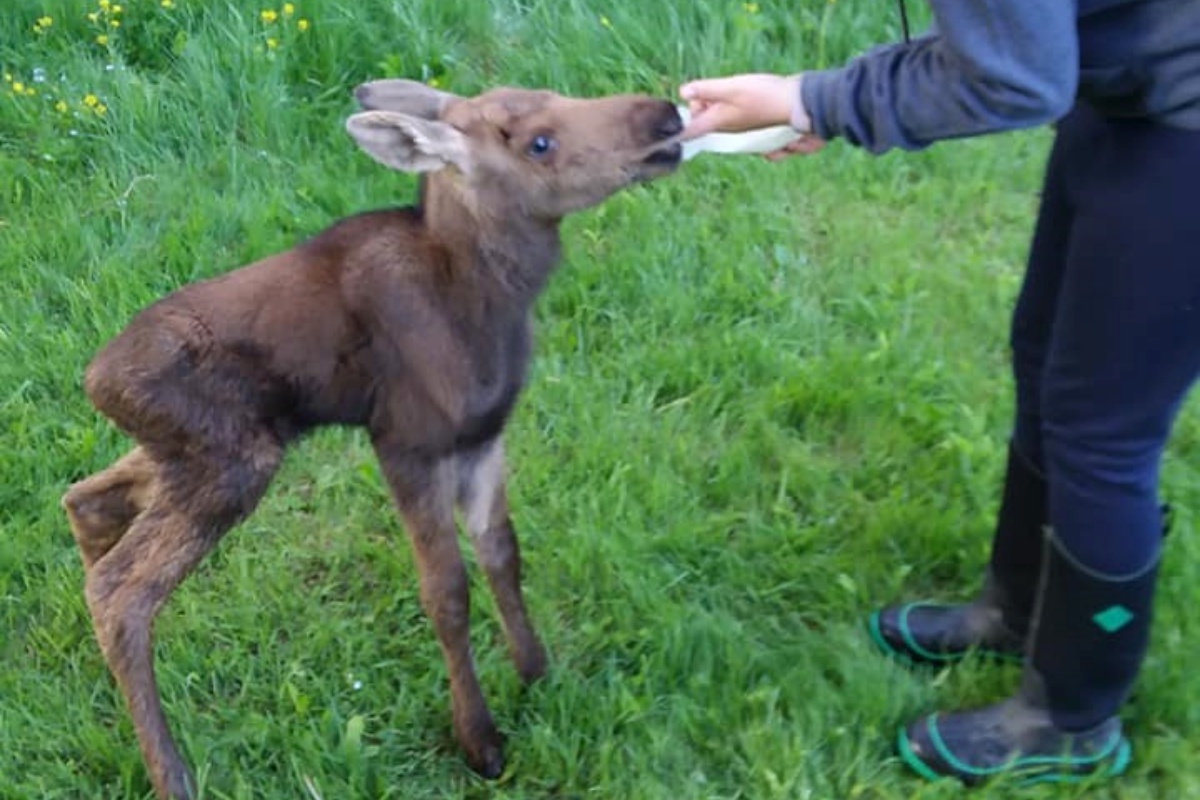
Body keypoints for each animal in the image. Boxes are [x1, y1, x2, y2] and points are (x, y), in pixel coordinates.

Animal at [65, 76, 686, 800]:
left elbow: (503, 554)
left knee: (88, 500)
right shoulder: (407, 440)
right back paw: (172, 772)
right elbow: (446, 591)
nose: (664, 115)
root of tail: (95, 380)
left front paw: (536, 671)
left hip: (200, 452)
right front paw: (480, 739)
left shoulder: (483, 438)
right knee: (121, 591)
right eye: (539, 142)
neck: (489, 299)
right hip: (235, 460)